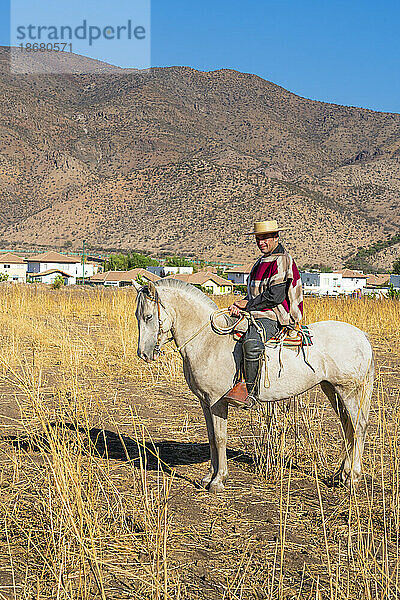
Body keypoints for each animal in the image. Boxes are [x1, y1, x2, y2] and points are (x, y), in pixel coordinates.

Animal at [133, 280, 374, 492]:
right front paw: (208, 477)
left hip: (349, 391)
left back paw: (352, 477)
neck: (208, 341)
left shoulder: (217, 402)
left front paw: (218, 481)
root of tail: (361, 335)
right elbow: (211, 437)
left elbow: (220, 438)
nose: (143, 354)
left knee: (358, 426)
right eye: (138, 316)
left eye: (149, 316)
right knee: (348, 427)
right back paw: (341, 474)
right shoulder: (204, 402)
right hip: (331, 389)